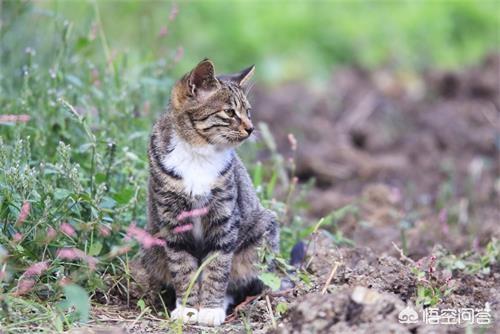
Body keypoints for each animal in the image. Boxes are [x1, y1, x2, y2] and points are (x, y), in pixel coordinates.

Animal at [141, 58, 280, 324]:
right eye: (230, 112)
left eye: (248, 112)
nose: (251, 128)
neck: (198, 154)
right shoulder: (172, 219)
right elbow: (183, 267)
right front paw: (187, 308)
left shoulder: (224, 217)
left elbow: (217, 266)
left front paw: (210, 309)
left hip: (262, 232)